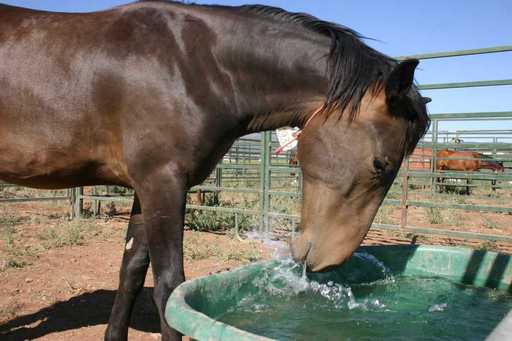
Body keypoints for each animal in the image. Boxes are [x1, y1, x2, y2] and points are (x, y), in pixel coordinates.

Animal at [0, 1, 430, 338]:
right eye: (380, 164)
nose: (329, 260)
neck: (194, 65)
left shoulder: (145, 188)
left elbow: (132, 272)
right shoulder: (163, 183)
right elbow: (170, 288)